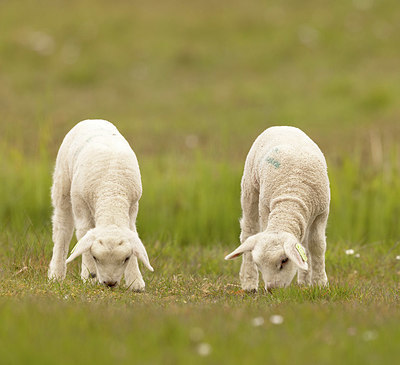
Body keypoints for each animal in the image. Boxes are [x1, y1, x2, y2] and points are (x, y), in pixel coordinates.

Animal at [47, 118, 153, 290]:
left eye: (126, 258)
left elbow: (133, 233)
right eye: (95, 257)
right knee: (62, 228)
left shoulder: (133, 207)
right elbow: (83, 233)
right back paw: (56, 274)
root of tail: (92, 119)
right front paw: (89, 277)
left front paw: (135, 282)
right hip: (62, 183)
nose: (110, 283)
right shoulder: (80, 204)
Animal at [225, 126, 332, 292]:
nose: (272, 289)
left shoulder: (322, 212)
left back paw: (304, 281)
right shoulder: (265, 207)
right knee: (249, 230)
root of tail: (282, 126)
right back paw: (249, 283)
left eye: (284, 261)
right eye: (259, 265)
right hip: (250, 187)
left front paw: (319, 283)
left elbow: (316, 246)